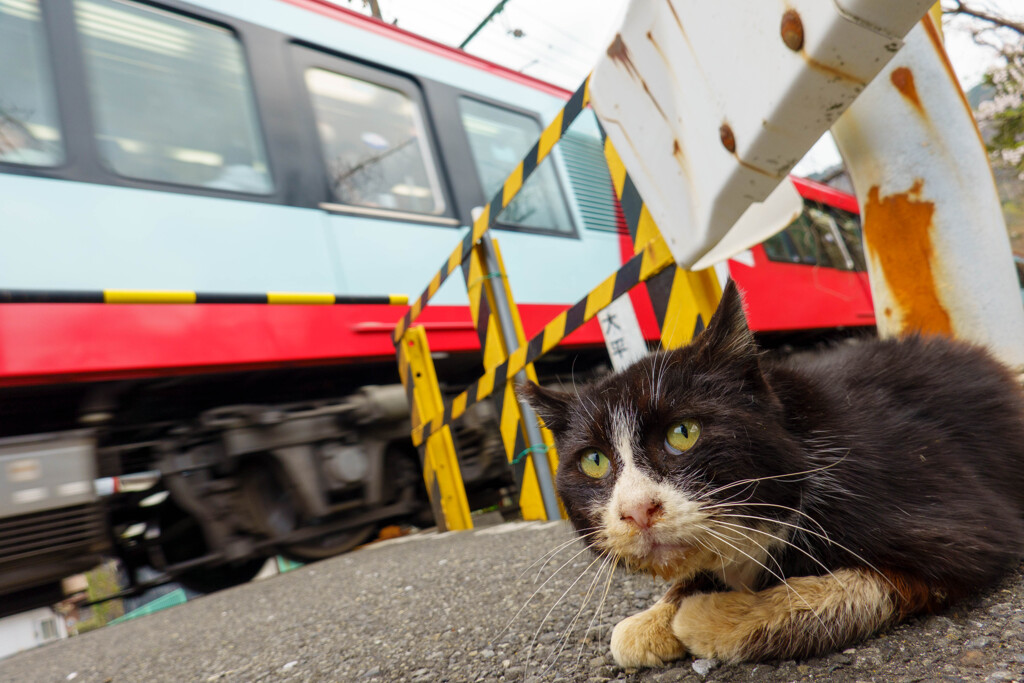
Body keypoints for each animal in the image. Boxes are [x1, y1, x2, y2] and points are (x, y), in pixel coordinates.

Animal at [520, 282, 1024, 667]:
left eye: (684, 433)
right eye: (594, 461)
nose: (636, 510)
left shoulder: (963, 524)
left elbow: (862, 585)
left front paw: (714, 618)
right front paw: (652, 618)